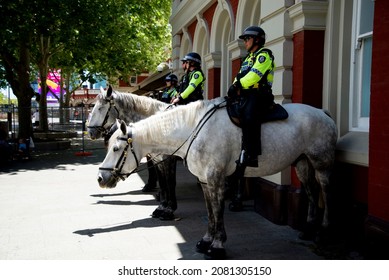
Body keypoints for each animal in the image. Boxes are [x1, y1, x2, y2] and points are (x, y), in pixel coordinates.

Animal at [86, 86, 177, 220]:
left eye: (100, 108)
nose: (90, 132)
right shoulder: (157, 159)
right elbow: (163, 183)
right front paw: (161, 207)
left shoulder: (168, 159)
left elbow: (170, 182)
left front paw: (169, 210)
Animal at [97, 97, 336, 260]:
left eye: (116, 148)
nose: (100, 177)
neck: (192, 130)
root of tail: (323, 113)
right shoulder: (205, 180)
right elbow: (210, 210)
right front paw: (206, 240)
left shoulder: (215, 178)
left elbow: (217, 209)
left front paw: (218, 245)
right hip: (303, 162)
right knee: (311, 191)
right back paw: (308, 228)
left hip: (321, 164)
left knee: (325, 191)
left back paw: (324, 232)